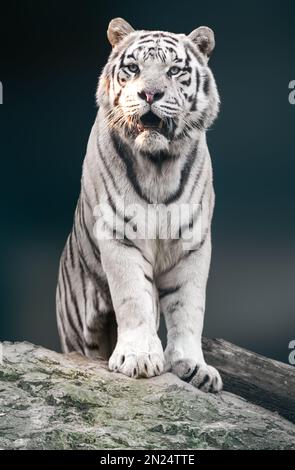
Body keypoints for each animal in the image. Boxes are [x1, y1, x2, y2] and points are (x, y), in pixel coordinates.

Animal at [56, 18, 222, 392]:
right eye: (133, 68)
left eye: (174, 70)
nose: (150, 94)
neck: (158, 164)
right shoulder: (120, 233)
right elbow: (133, 298)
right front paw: (139, 358)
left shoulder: (192, 243)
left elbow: (189, 307)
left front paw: (194, 366)